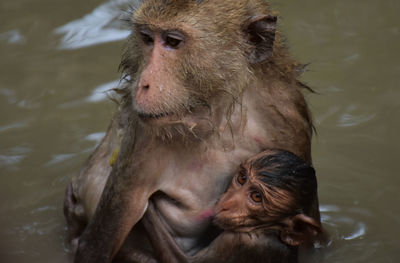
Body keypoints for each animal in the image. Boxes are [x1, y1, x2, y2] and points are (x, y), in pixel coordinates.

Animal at [142, 151, 320, 263]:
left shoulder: (240, 242)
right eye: (242, 178)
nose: (226, 204)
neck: (269, 229)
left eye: (256, 197)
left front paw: (148, 206)